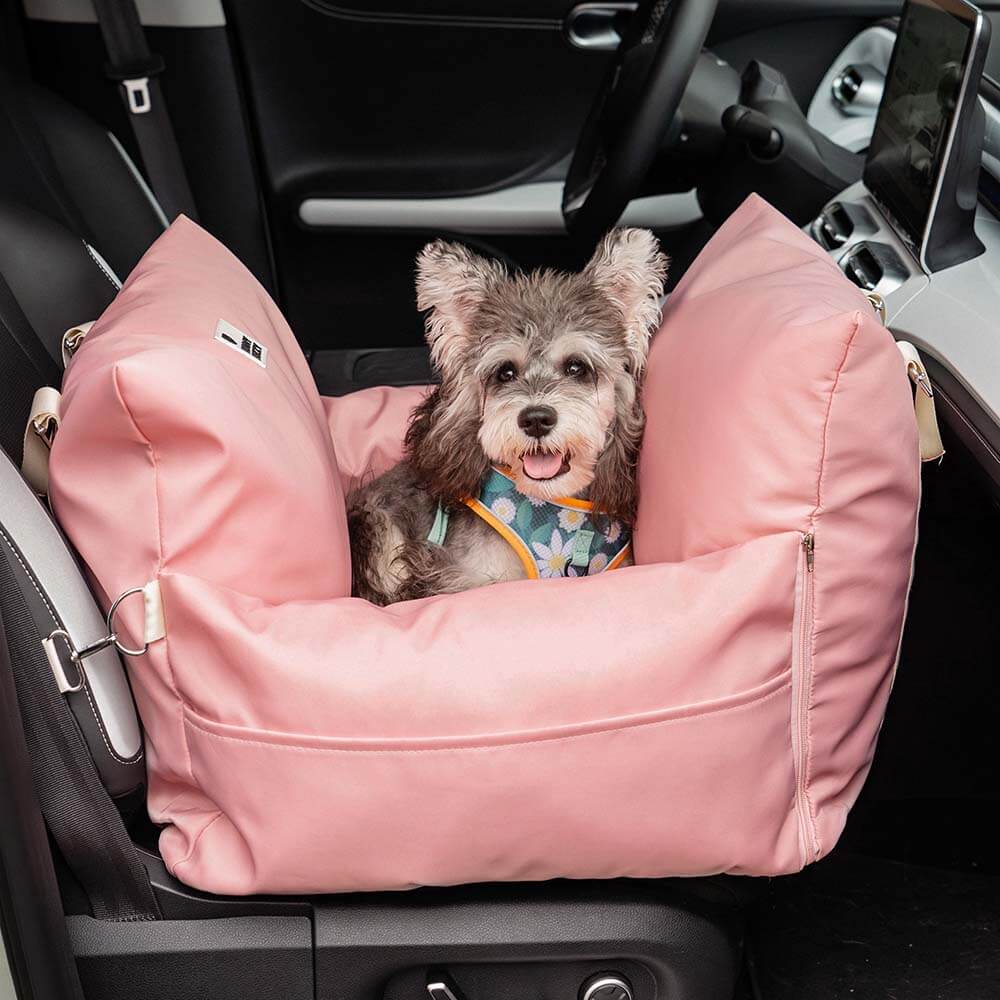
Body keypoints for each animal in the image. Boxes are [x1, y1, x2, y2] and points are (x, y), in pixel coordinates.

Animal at [348, 227, 668, 604]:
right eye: (505, 372)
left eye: (577, 367)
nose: (536, 419)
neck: (554, 503)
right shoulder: (463, 578)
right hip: (373, 526)